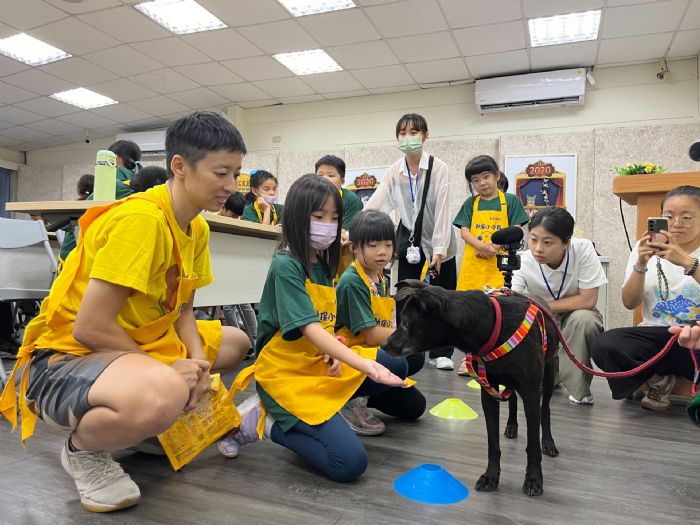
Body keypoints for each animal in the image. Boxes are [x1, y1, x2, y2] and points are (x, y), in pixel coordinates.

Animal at [382, 278, 556, 496]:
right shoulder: (488, 393)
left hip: (549, 374)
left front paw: (533, 480)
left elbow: (532, 445)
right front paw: (491, 477)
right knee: (513, 399)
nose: (383, 345)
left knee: (545, 410)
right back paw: (511, 427)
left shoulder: (531, 393)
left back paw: (548, 443)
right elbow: (493, 443)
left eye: (405, 323)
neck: (492, 326)